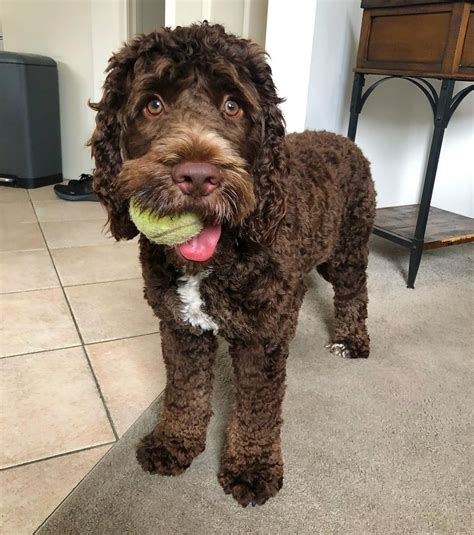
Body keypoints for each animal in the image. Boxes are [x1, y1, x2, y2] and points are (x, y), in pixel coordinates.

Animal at [90, 22, 376, 506]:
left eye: (232, 106)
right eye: (153, 104)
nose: (197, 176)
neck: (217, 260)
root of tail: (344, 139)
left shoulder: (261, 339)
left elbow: (258, 407)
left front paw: (253, 466)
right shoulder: (181, 325)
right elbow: (185, 390)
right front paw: (175, 442)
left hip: (347, 251)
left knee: (354, 290)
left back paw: (351, 340)